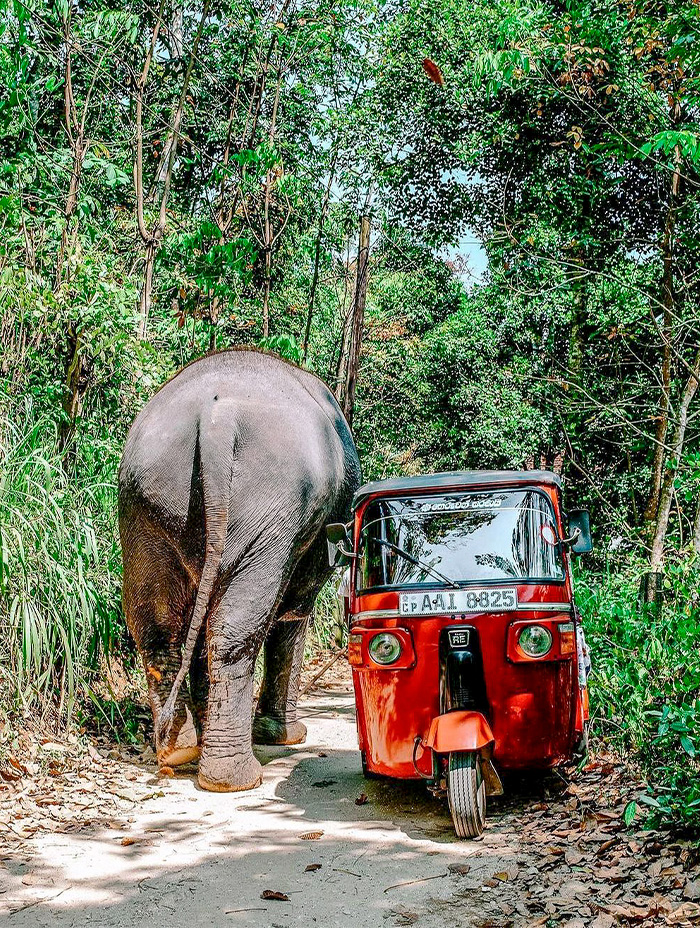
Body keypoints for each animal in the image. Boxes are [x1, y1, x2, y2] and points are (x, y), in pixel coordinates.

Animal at [118, 349, 361, 792]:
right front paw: (288, 735)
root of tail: (216, 418)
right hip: (273, 508)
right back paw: (235, 779)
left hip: (145, 502)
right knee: (238, 624)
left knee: (158, 624)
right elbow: (294, 612)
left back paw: (179, 750)